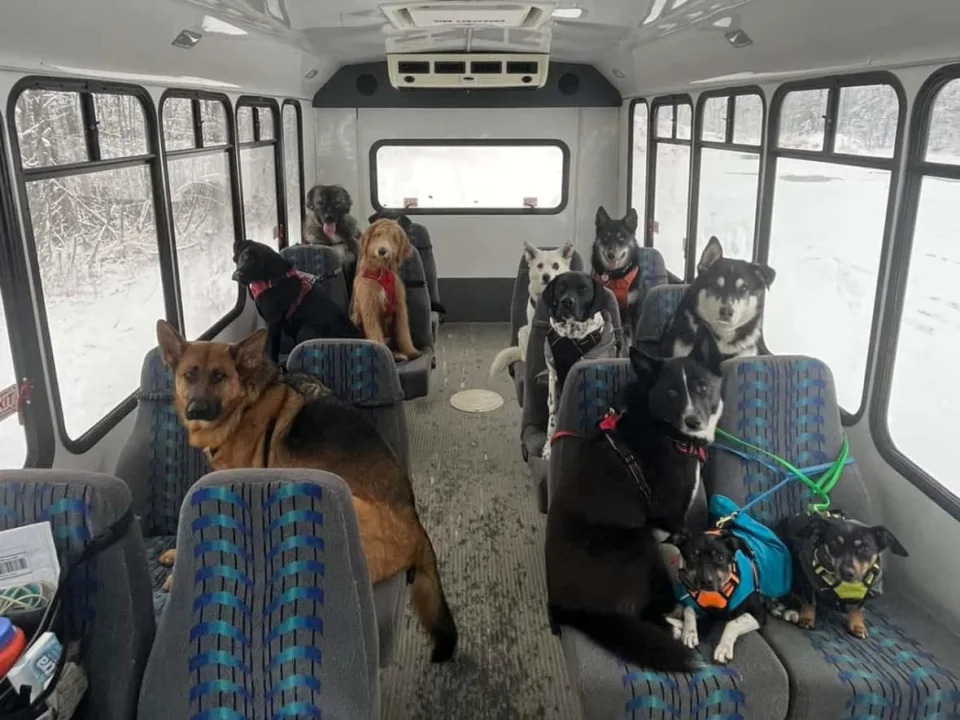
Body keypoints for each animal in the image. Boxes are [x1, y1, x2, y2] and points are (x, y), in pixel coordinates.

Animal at [346, 218, 418, 366]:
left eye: (394, 238)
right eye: (377, 235)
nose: (382, 251)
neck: (381, 272)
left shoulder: (400, 307)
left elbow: (404, 332)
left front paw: (410, 351)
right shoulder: (369, 309)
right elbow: (375, 334)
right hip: (356, 319)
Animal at [544, 326, 724, 668]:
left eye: (703, 387)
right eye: (671, 393)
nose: (694, 421)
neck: (665, 430)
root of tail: (572, 611)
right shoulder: (669, 515)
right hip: (636, 543)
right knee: (647, 613)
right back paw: (676, 626)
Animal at [780, 510, 908, 640]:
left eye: (865, 549)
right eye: (834, 544)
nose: (847, 572)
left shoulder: (866, 592)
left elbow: (856, 609)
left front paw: (857, 625)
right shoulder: (806, 578)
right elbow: (810, 601)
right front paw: (807, 618)